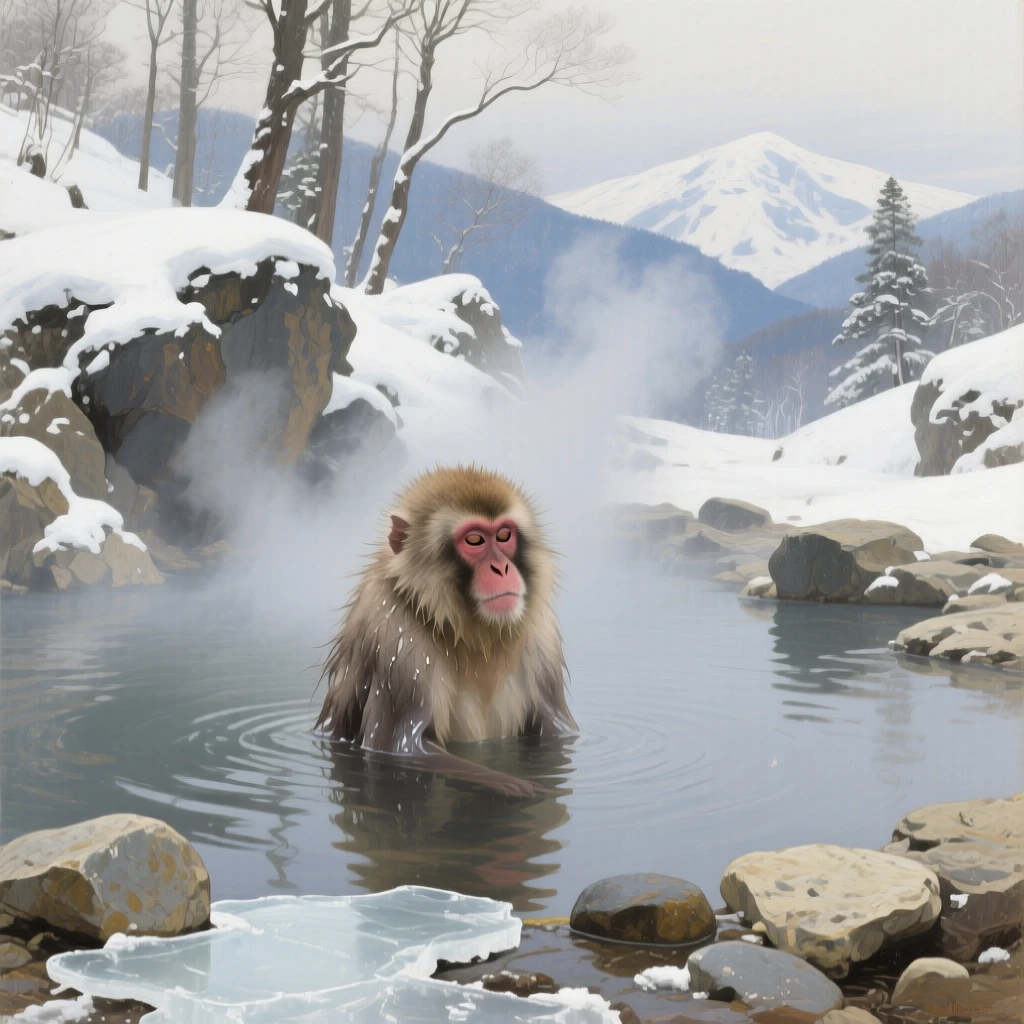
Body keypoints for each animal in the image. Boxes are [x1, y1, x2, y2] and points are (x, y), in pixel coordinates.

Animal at [316, 465, 577, 798]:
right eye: (475, 540)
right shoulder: (396, 639)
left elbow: (557, 732)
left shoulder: (543, 636)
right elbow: (400, 747)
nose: (502, 569)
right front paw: (515, 784)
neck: (474, 631)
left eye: (504, 536)